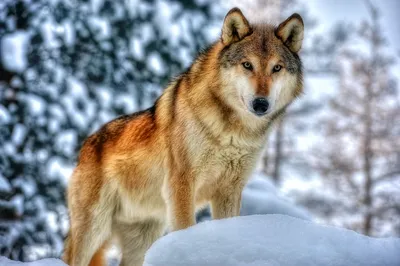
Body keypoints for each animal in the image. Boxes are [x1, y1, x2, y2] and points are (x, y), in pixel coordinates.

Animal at [64, 7, 304, 266]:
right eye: (247, 65)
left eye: (277, 68)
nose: (261, 104)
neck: (233, 133)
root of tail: (86, 146)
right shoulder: (181, 183)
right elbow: (184, 227)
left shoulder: (229, 190)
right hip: (93, 230)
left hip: (141, 241)